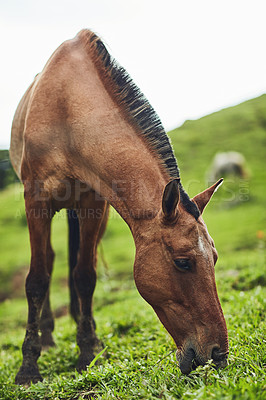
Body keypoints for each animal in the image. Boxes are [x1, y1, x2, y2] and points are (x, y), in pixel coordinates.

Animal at [9, 28, 228, 384]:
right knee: (50, 261)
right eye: (183, 263)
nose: (218, 354)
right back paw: (49, 335)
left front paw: (88, 350)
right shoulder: (36, 201)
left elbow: (85, 275)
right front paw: (28, 367)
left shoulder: (94, 204)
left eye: (215, 258)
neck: (67, 109)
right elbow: (37, 280)